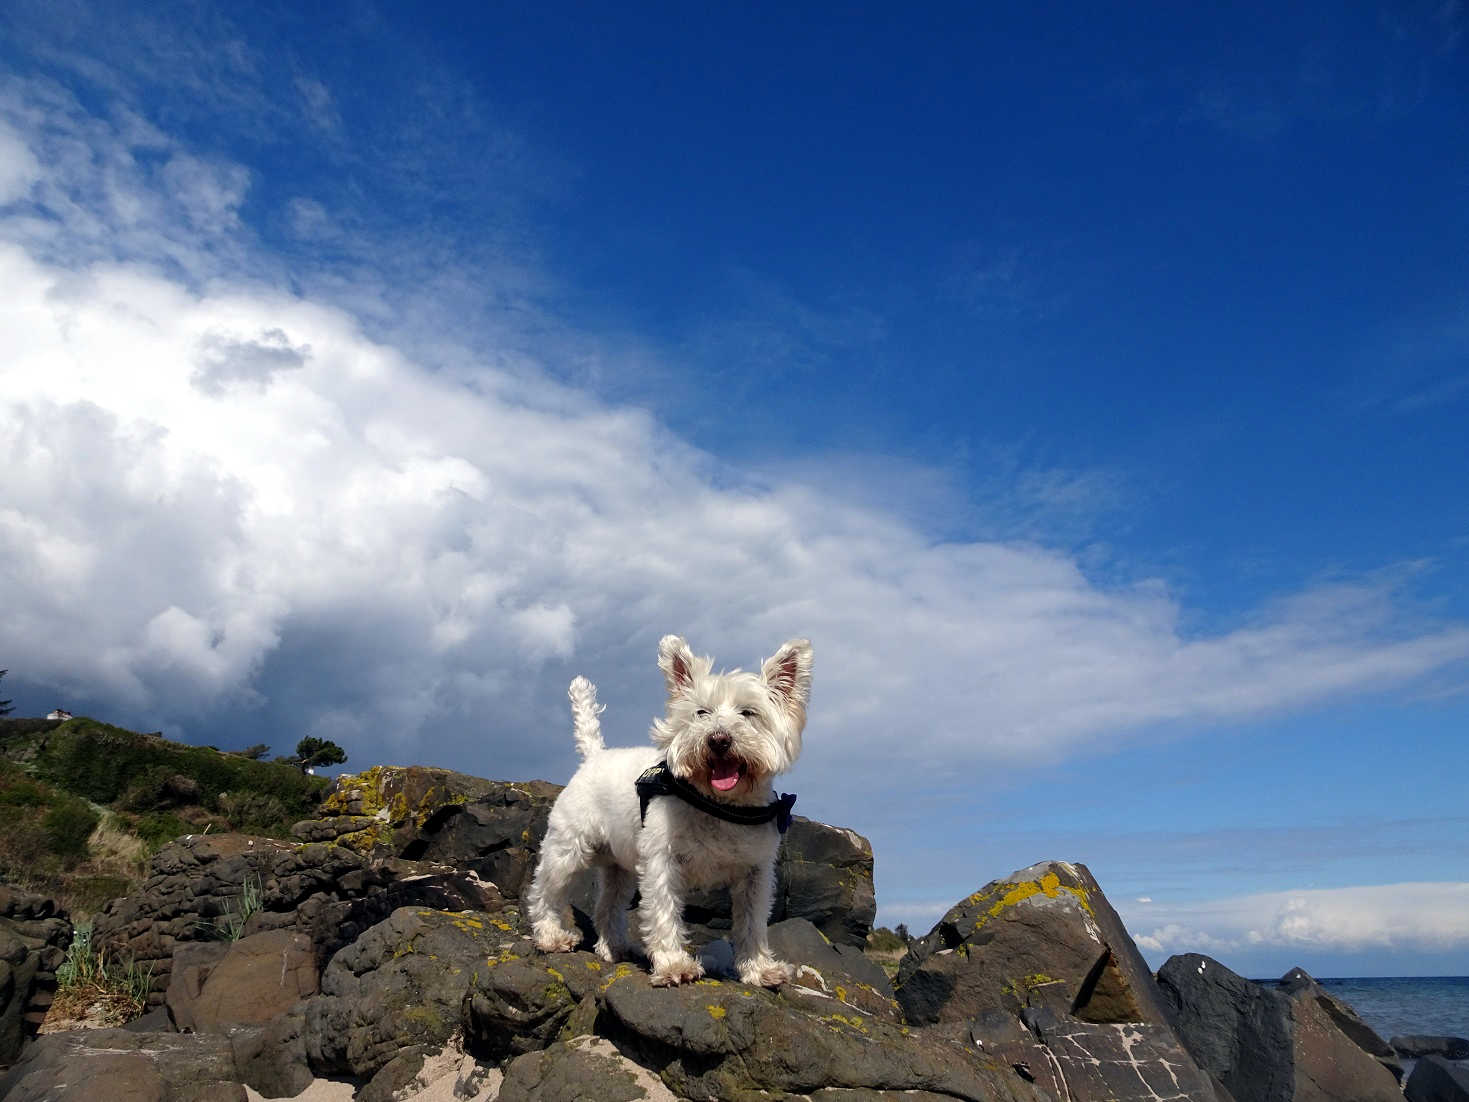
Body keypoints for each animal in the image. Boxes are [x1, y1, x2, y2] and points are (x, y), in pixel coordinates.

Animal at [525, 637, 816, 993]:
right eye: (701, 712)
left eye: (748, 713)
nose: (718, 740)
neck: (718, 804)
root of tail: (594, 757)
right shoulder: (662, 862)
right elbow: (664, 912)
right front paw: (674, 965)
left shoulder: (756, 874)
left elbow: (751, 923)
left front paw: (759, 969)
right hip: (568, 849)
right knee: (544, 891)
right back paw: (552, 936)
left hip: (620, 867)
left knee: (607, 905)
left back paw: (615, 948)